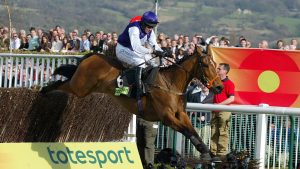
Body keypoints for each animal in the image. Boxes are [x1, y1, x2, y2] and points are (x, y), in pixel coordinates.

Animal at [42, 45, 224, 160]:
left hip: (84, 88)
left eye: (215, 64)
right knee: (61, 84)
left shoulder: (181, 114)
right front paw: (205, 152)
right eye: (205, 64)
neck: (170, 84)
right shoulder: (166, 117)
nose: (219, 87)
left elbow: (192, 131)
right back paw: (45, 90)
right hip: (80, 87)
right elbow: (186, 130)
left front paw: (206, 151)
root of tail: (91, 56)